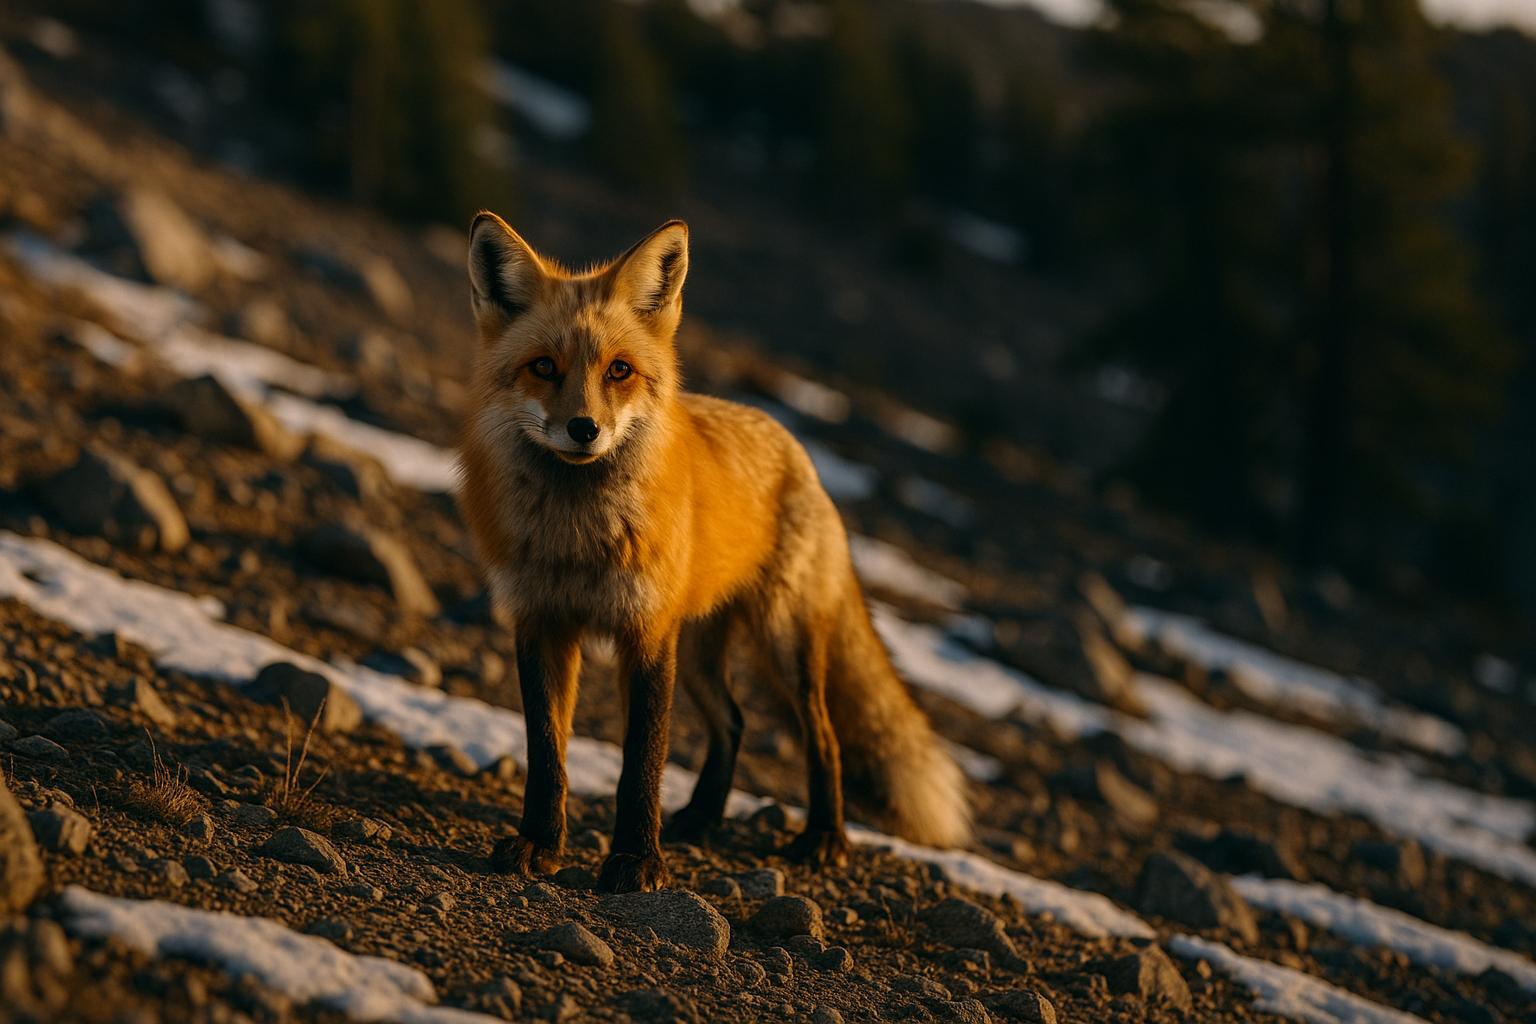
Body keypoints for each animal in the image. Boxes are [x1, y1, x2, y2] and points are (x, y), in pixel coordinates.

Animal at [457, 212, 971, 893]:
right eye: (543, 366)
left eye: (619, 371)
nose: (584, 429)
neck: (578, 538)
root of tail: (797, 450)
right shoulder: (542, 622)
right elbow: (547, 754)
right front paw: (539, 844)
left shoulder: (647, 633)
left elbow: (641, 762)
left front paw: (635, 861)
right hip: (700, 652)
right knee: (734, 722)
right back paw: (702, 817)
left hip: (783, 644)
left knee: (825, 735)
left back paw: (824, 837)